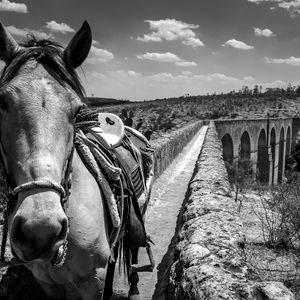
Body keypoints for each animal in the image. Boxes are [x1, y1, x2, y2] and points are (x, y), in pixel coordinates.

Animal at [0, 19, 152, 298]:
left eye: (77, 109)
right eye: (1, 102)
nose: (41, 231)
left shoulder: (93, 281)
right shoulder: (49, 283)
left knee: (134, 246)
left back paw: (134, 285)